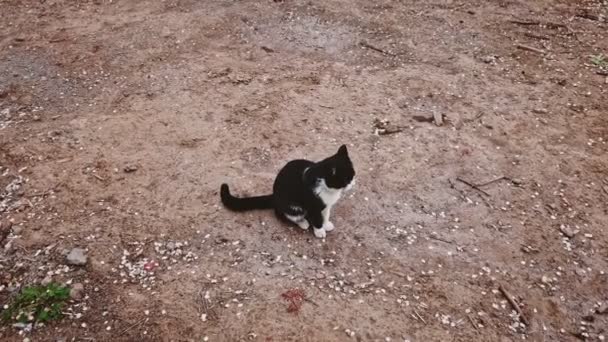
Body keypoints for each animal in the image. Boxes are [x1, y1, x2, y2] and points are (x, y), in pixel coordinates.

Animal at [222, 144, 356, 238]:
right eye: (346, 180)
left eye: (353, 175)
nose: (352, 184)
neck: (329, 190)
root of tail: (274, 195)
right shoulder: (312, 206)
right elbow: (317, 218)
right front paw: (319, 231)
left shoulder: (327, 204)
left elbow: (326, 214)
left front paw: (326, 224)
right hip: (292, 206)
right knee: (284, 214)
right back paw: (303, 222)